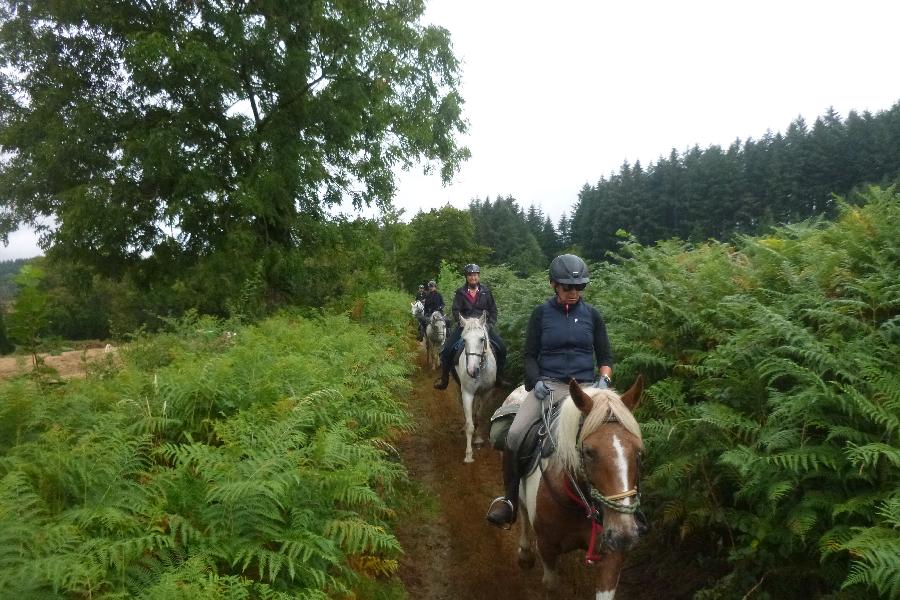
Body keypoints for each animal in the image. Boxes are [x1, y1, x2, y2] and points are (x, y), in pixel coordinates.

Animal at [458, 314, 500, 464]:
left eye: (482, 339)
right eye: (464, 340)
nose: (471, 371)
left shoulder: (486, 392)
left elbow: (480, 415)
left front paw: (478, 439)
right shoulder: (467, 393)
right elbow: (469, 424)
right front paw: (468, 454)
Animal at [512, 378, 648, 596]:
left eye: (638, 451)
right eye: (589, 452)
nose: (624, 534)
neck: (575, 501)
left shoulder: (611, 555)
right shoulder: (546, 547)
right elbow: (551, 585)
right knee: (522, 510)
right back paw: (525, 554)